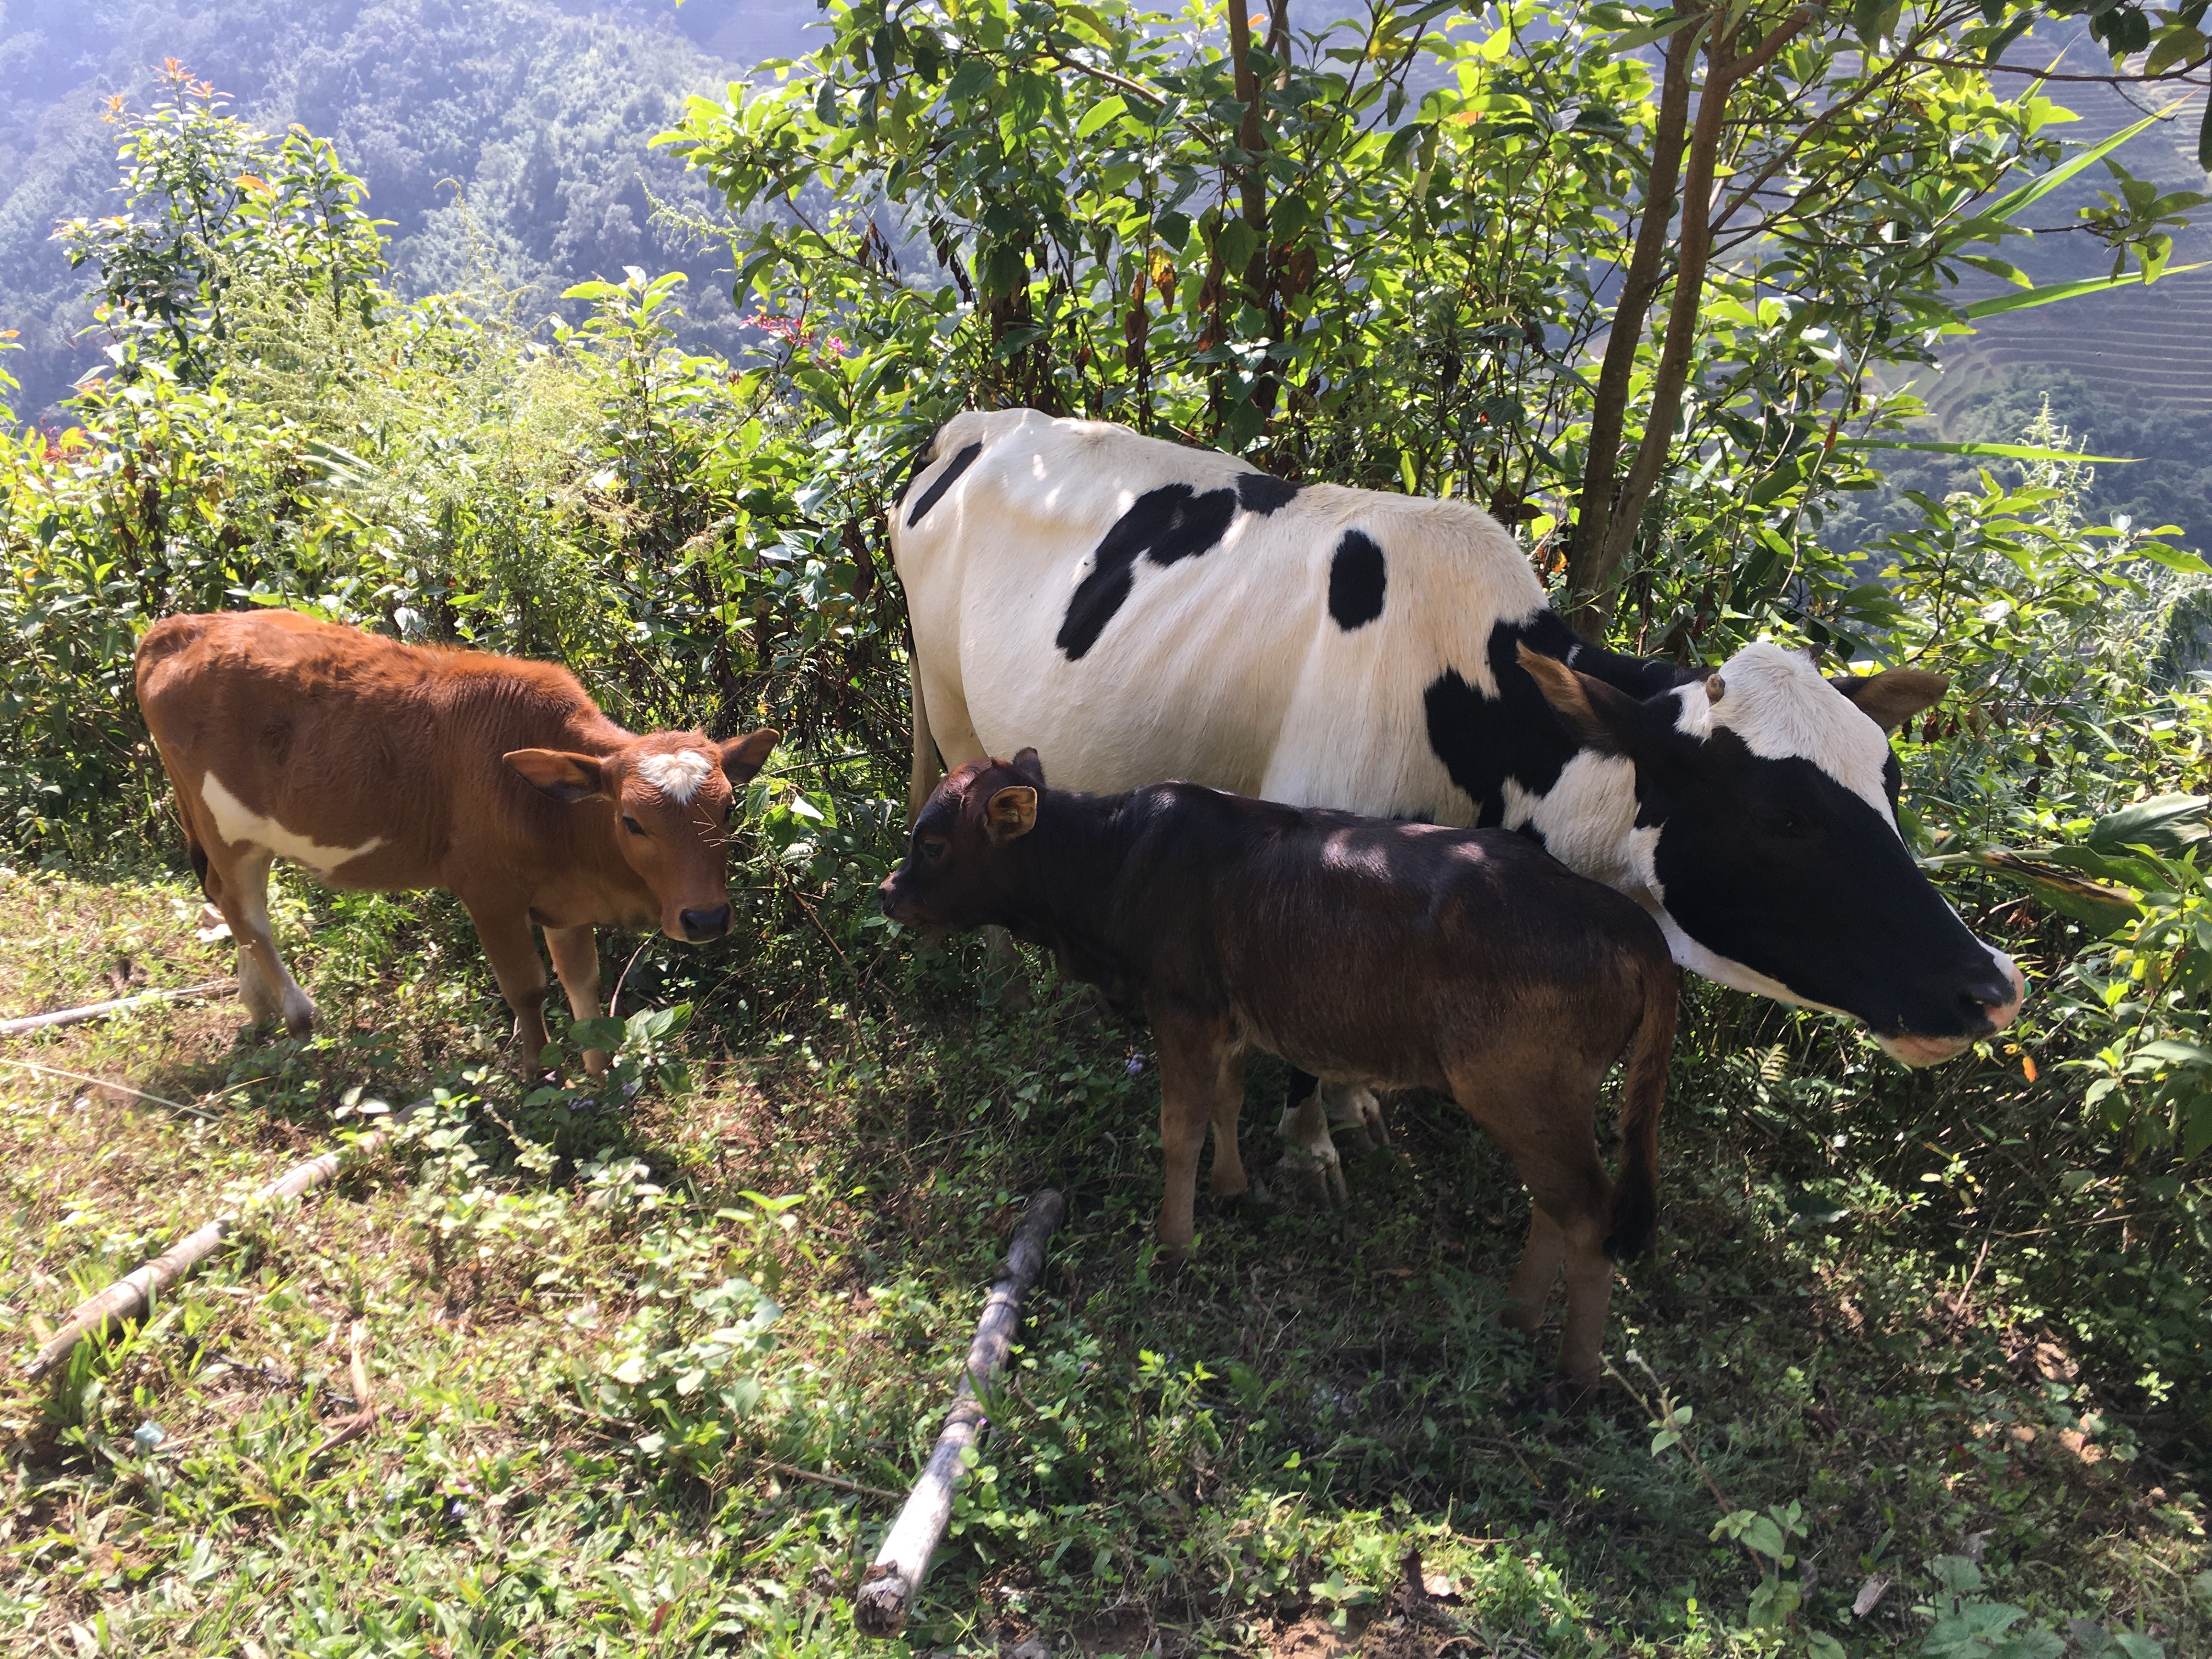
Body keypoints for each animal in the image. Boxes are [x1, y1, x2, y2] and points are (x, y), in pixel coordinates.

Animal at [135, 611, 778, 1075]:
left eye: (728, 808)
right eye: (632, 821)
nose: (705, 918)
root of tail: (182, 627)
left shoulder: (567, 901)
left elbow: (583, 986)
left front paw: (600, 1078)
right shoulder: (487, 892)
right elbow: (527, 989)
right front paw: (541, 1075)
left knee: (231, 907)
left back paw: (259, 1004)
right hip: (224, 829)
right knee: (247, 914)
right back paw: (297, 1016)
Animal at [880, 752, 1679, 1392]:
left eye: (934, 843)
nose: (888, 892)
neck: (1115, 859)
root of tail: (1627, 921)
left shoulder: (1182, 1008)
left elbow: (1181, 1130)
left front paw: (1174, 1243)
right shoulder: (1231, 1018)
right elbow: (1228, 1105)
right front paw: (1231, 1189)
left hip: (1521, 1090)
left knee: (1587, 1214)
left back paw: (1575, 1372)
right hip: (1547, 1102)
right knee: (1556, 1204)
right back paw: (1517, 1316)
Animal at [890, 408, 2025, 1193]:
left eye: (1887, 782)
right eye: (1783, 816)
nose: (1990, 986)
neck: (1472, 708)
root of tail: (978, 423)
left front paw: (1353, 1104)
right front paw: (1308, 1147)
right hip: (946, 693)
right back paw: (1001, 967)